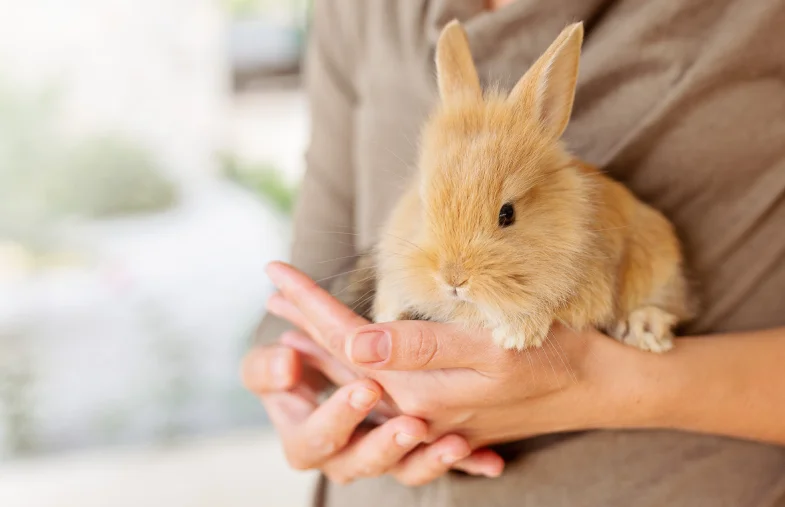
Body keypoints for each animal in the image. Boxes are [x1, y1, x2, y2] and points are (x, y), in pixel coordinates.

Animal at [363, 20, 694, 352]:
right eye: (423, 206)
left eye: (507, 214)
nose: (453, 279)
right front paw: (390, 311)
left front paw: (516, 334)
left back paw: (644, 330)